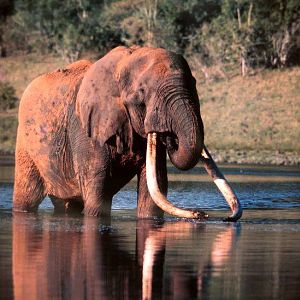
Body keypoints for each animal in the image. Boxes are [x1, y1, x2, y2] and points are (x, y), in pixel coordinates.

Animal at [14, 45, 243, 221]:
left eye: (194, 84)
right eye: (141, 94)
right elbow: (97, 196)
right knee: (26, 198)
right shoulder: (86, 130)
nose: (202, 214)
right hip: (25, 146)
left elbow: (153, 192)